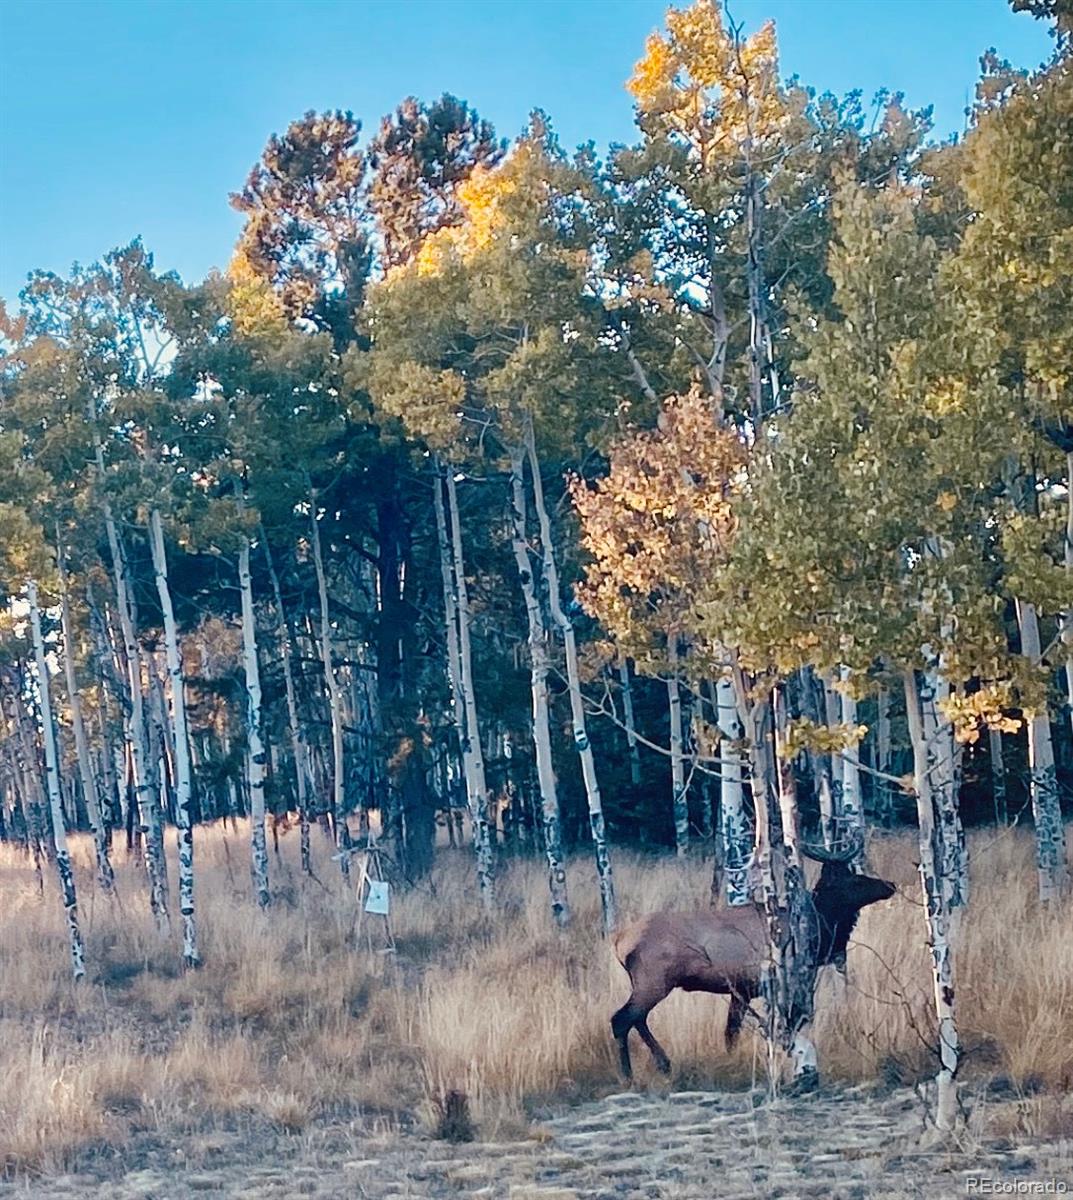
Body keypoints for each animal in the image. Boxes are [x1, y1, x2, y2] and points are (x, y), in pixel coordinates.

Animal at [614, 840, 897, 1084]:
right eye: (854, 878)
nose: (890, 884)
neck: (817, 931)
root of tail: (619, 943)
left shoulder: (741, 990)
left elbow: (731, 1032)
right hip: (654, 981)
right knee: (622, 1019)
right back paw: (629, 1074)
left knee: (637, 1019)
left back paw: (662, 1064)